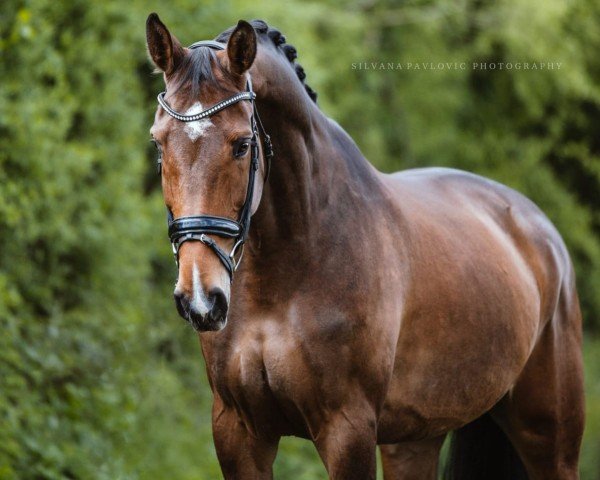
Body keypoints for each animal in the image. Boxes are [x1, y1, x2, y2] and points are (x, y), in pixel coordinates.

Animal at [146, 15, 584, 480]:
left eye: (242, 144)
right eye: (158, 143)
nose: (200, 298)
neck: (282, 279)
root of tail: (539, 229)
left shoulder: (347, 430)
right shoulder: (238, 431)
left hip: (550, 442)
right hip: (414, 438)